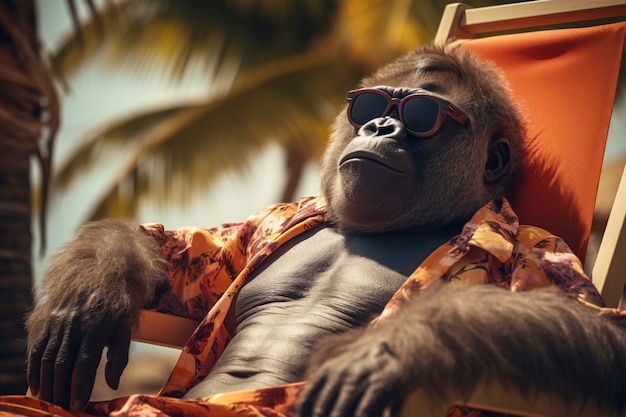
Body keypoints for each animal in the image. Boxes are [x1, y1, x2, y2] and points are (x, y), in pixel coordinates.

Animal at [24, 43, 624, 416]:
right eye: (371, 105)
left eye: (422, 117)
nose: (380, 125)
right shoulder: (264, 225)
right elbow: (172, 248)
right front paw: (90, 300)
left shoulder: (538, 248)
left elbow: (600, 332)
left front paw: (400, 349)